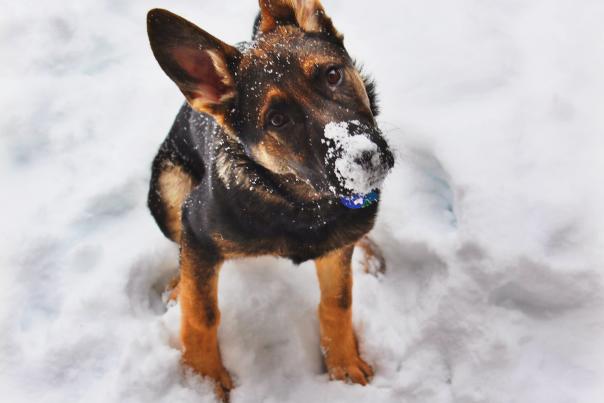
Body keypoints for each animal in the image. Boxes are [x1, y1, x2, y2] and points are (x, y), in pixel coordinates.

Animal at [145, 1, 394, 400]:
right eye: (277, 120)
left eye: (333, 75)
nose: (365, 157)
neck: (302, 207)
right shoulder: (197, 230)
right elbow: (202, 314)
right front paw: (204, 380)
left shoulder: (337, 241)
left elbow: (337, 302)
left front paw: (343, 362)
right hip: (169, 185)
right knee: (180, 253)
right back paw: (178, 287)